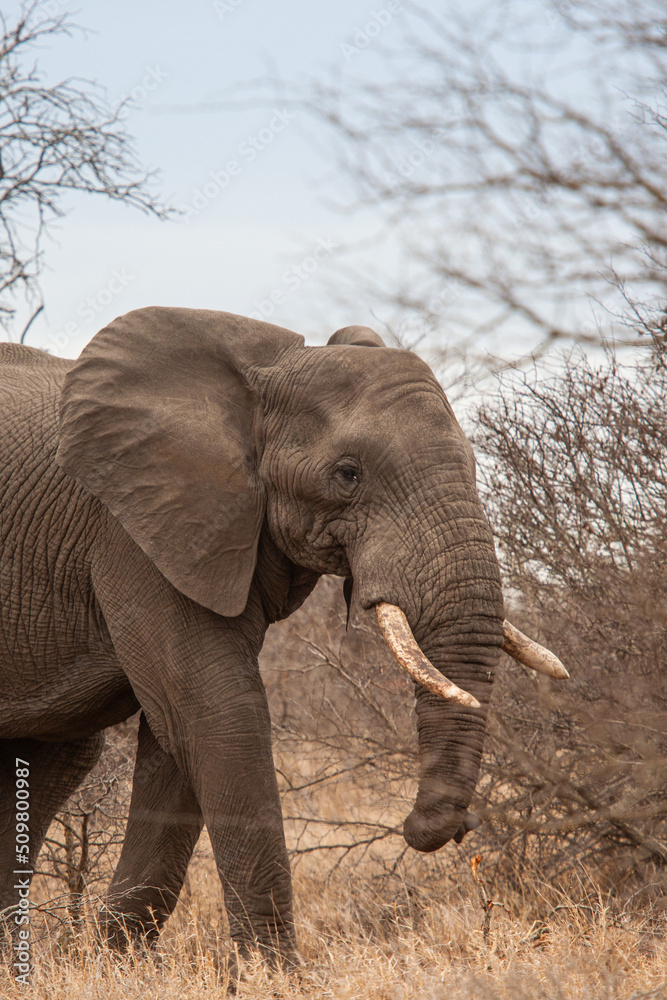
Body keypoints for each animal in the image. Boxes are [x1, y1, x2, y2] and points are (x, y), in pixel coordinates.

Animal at [0, 307, 565, 966]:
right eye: (347, 474)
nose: (451, 828)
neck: (265, 374)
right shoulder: (133, 533)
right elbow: (216, 713)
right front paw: (278, 976)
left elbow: (177, 736)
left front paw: (119, 966)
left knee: (56, 756)